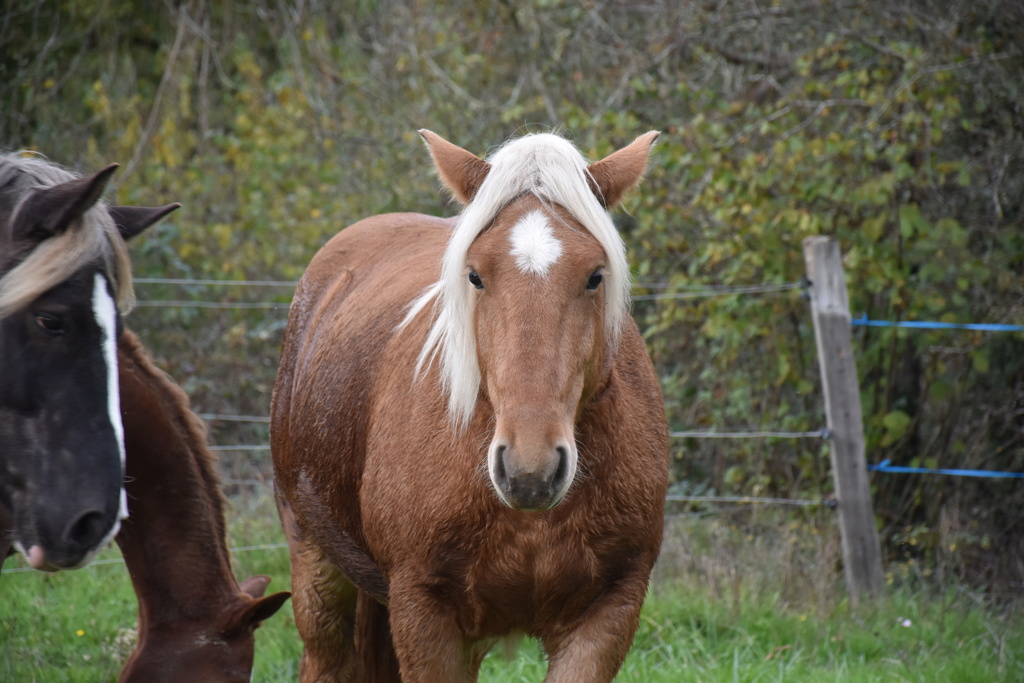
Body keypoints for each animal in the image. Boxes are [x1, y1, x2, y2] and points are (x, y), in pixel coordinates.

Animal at [274, 131, 671, 679]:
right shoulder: (423, 615)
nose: (530, 469)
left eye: (595, 275)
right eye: (475, 276)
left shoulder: (608, 614)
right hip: (315, 564)